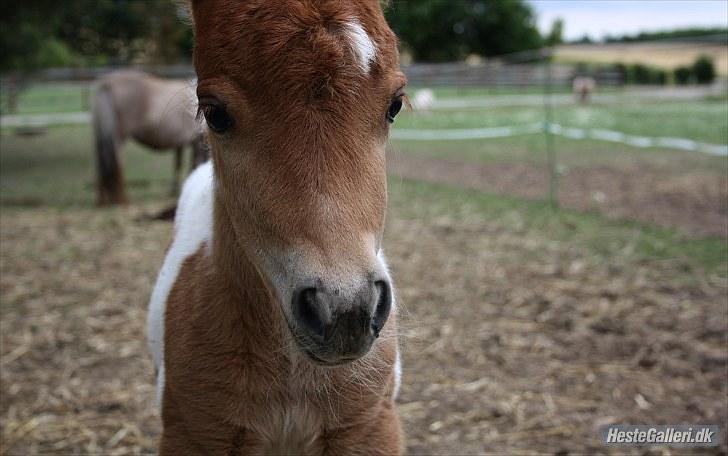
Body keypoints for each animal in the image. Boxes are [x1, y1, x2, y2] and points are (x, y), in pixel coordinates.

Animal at [93, 70, 208, 205]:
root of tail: (106, 83)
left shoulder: (180, 144)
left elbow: (178, 164)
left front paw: (174, 191)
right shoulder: (195, 142)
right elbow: (193, 164)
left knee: (100, 163)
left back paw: (102, 201)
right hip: (118, 137)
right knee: (117, 163)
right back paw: (122, 199)